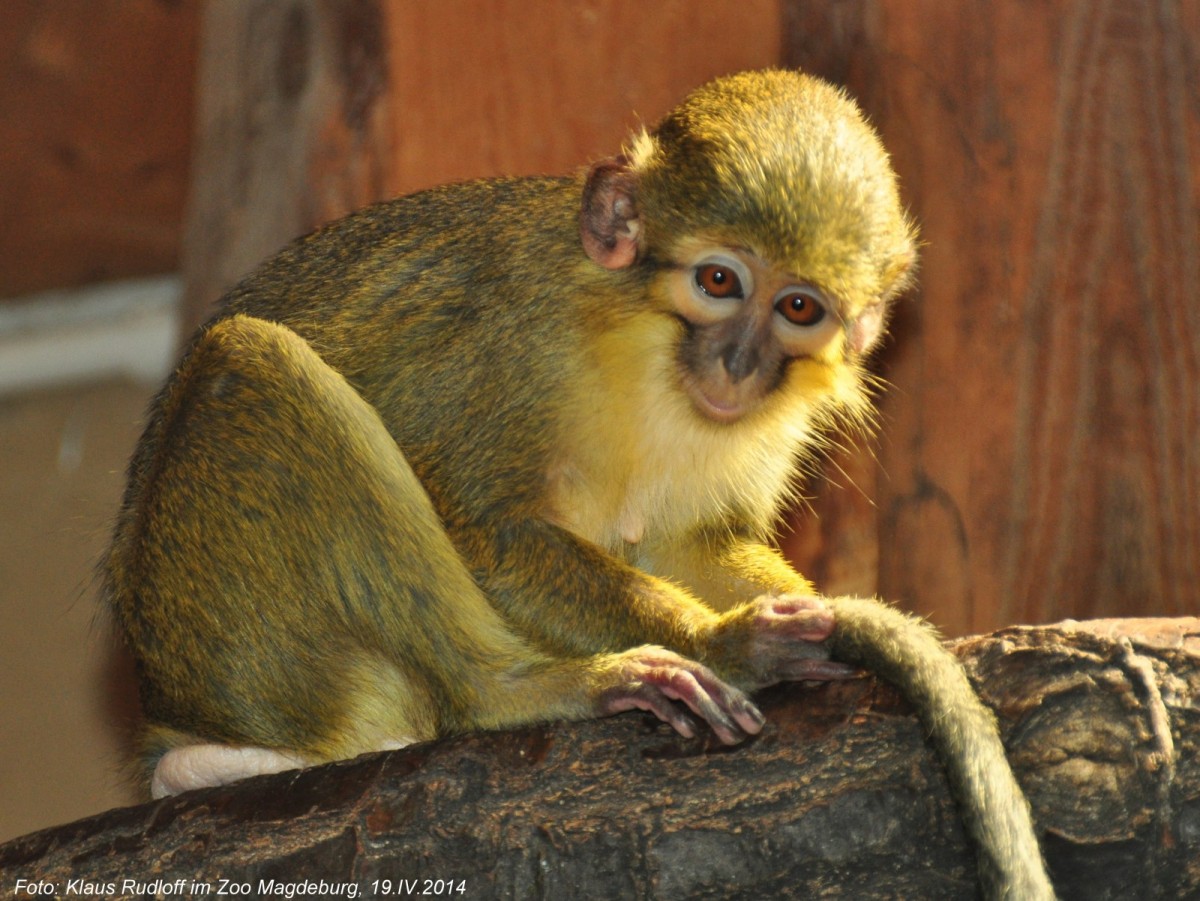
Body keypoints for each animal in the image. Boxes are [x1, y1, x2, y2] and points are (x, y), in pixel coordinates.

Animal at [108, 72, 1056, 901]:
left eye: (798, 308)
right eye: (720, 282)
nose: (739, 363)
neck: (641, 348)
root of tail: (174, 707)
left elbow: (693, 545)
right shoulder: (517, 338)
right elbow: (490, 531)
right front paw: (722, 641)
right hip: (254, 652)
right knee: (251, 367)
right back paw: (517, 691)